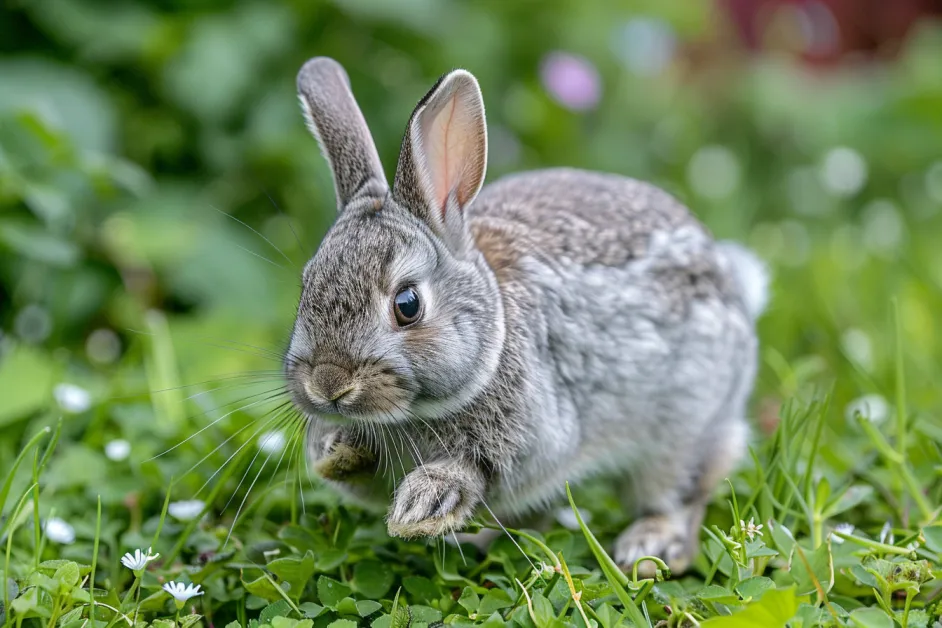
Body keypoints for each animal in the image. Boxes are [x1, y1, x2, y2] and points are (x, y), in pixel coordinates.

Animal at [286, 56, 768, 576]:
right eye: (305, 285)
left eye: (407, 304)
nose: (328, 385)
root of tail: (732, 283)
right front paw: (333, 449)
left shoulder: (534, 439)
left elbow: (478, 469)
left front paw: (425, 502)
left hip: (683, 431)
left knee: (681, 492)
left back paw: (647, 547)